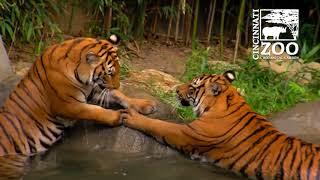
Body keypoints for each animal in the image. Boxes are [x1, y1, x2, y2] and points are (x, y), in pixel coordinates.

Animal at [0, 34, 156, 156]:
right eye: (109, 73)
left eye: (119, 69)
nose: (118, 85)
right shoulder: (68, 104)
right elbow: (94, 111)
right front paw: (117, 116)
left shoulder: (93, 91)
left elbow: (119, 95)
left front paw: (146, 104)